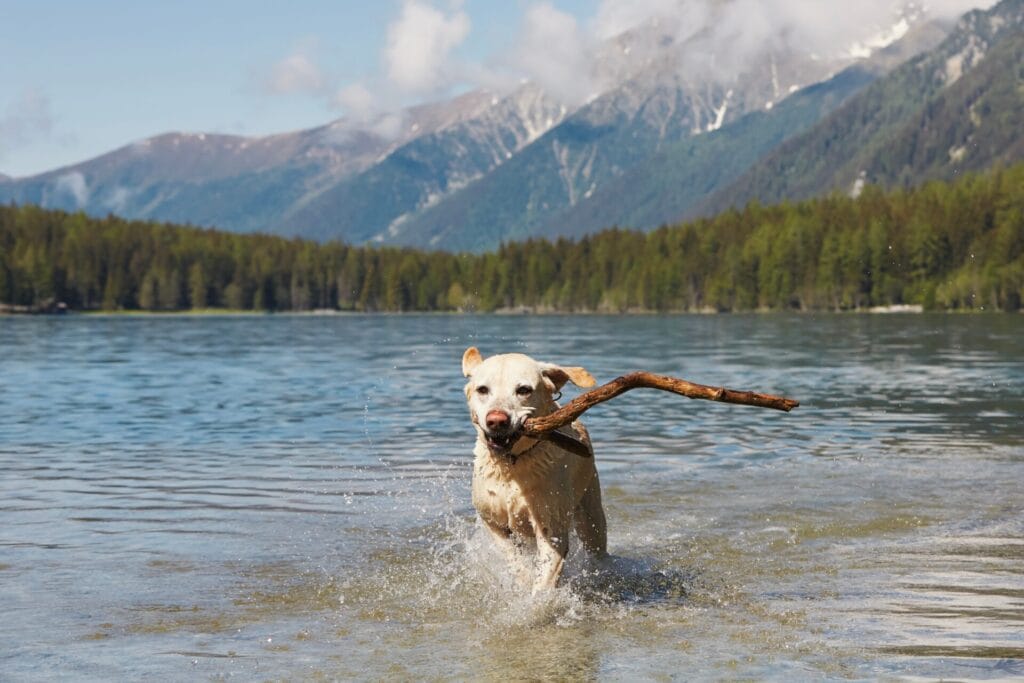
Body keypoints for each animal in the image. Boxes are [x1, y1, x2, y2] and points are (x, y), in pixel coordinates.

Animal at [460, 348, 602, 593]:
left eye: (524, 390)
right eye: (482, 389)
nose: (496, 421)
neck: (511, 465)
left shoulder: (551, 529)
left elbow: (544, 581)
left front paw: (536, 600)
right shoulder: (493, 523)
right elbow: (514, 559)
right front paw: (522, 581)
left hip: (590, 511)